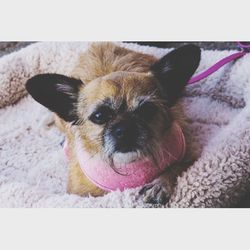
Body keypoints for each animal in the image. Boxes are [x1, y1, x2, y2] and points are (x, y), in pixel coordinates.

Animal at [25, 42, 201, 204]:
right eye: (99, 116)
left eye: (147, 110)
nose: (125, 129)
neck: (129, 164)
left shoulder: (189, 156)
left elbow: (176, 168)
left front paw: (160, 183)